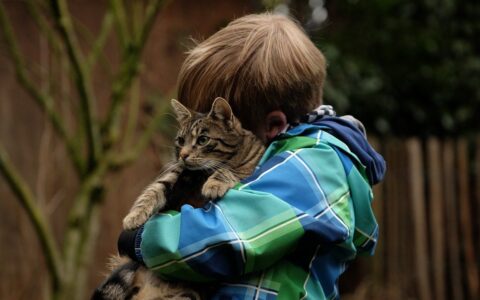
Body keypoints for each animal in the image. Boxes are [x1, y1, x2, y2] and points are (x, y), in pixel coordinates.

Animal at [93, 97, 266, 298]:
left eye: (203, 140)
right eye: (181, 140)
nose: (183, 155)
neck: (201, 174)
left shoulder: (248, 167)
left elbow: (229, 170)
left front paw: (214, 184)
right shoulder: (173, 175)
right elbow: (151, 191)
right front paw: (134, 216)